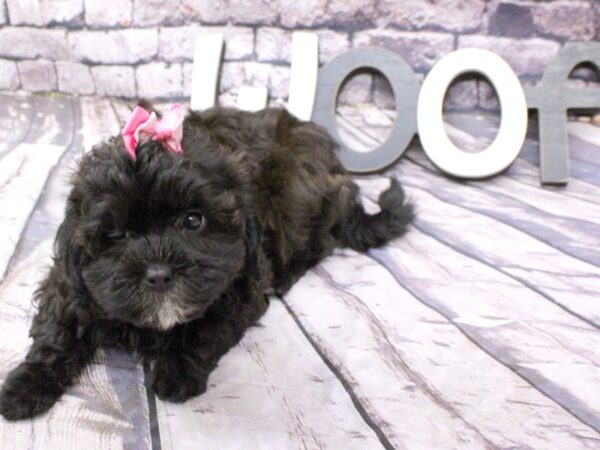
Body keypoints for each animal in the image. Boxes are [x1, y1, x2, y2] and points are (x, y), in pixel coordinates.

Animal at [0, 103, 412, 420]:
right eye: (116, 234)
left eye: (193, 221)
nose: (158, 274)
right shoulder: (70, 285)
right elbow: (56, 331)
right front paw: (24, 386)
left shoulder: (242, 281)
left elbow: (208, 327)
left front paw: (178, 372)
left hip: (297, 193)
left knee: (319, 239)